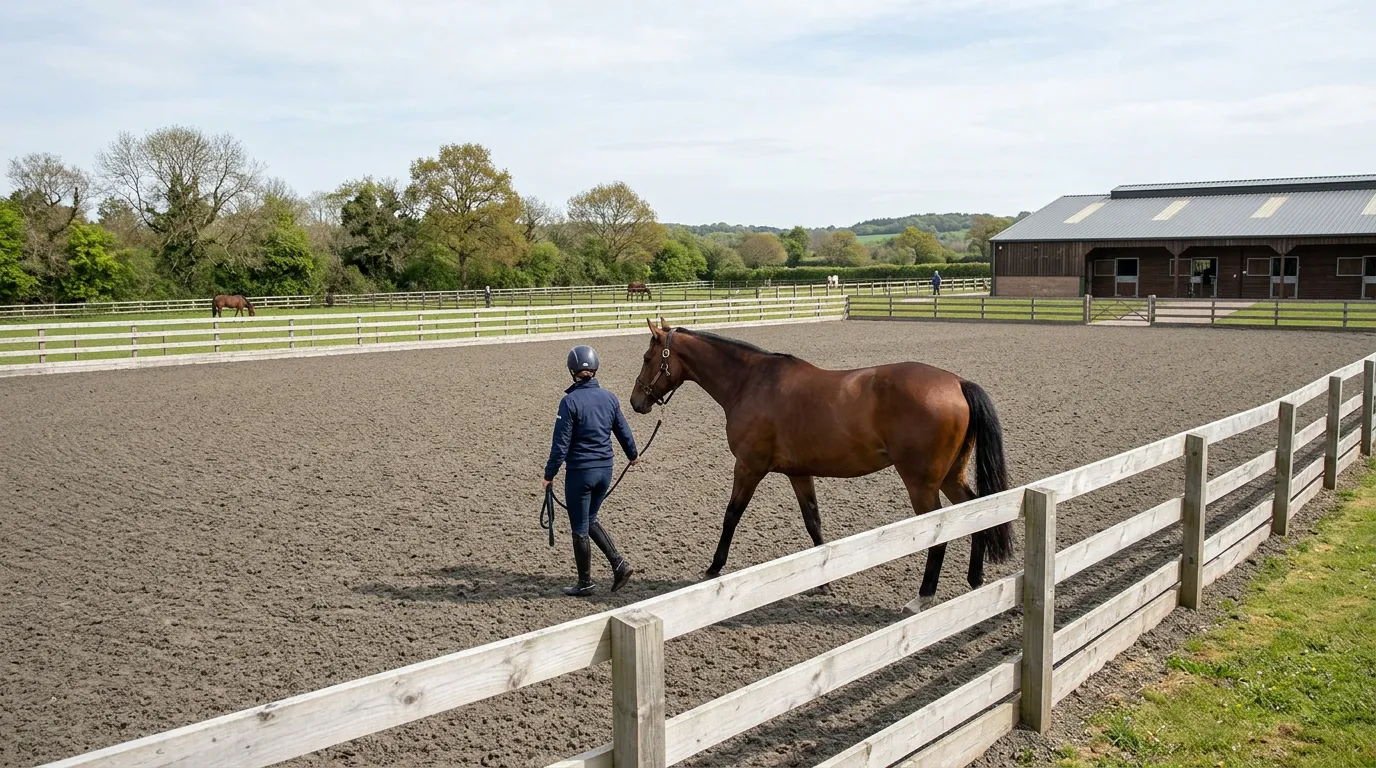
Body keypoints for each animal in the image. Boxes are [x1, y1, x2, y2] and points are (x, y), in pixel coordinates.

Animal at [629, 318, 1013, 614]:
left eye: (648, 357)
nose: (636, 401)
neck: (751, 382)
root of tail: (957, 383)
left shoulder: (749, 467)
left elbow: (732, 515)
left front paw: (714, 567)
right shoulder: (799, 473)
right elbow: (813, 522)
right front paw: (824, 582)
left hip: (922, 483)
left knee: (939, 531)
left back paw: (923, 596)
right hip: (950, 476)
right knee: (976, 512)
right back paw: (975, 580)